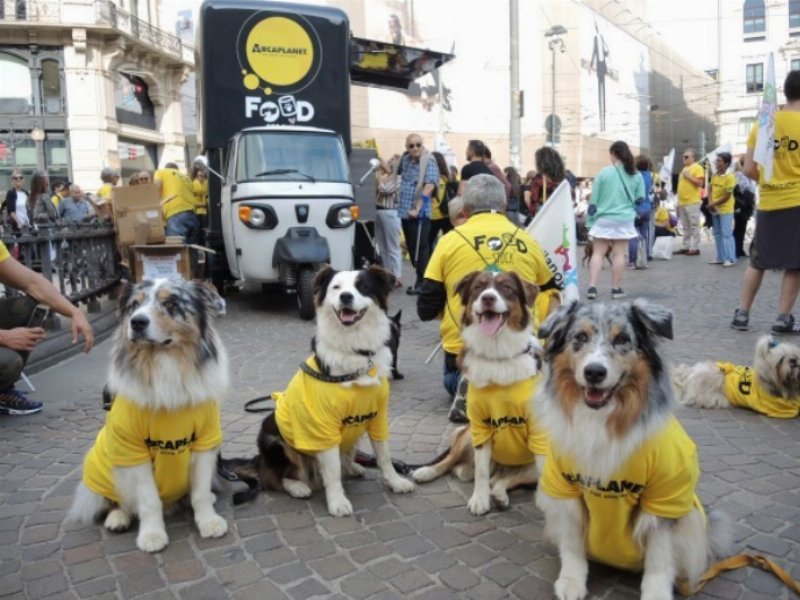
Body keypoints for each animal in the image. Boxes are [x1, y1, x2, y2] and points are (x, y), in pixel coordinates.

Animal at [66, 280, 230, 552]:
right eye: (134, 305)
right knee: (114, 502)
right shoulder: (133, 452)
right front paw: (152, 535)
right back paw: (118, 518)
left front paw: (208, 522)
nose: (137, 322)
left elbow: (199, 493)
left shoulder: (205, 442)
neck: (165, 362)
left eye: (171, 303)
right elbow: (149, 500)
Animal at [223, 264, 416, 516]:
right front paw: (337, 501)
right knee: (272, 478)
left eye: (363, 286)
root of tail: (259, 459)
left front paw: (395, 481)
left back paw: (352, 466)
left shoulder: (377, 417)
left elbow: (384, 456)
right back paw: (297, 486)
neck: (354, 350)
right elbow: (332, 471)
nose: (346, 297)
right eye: (336, 287)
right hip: (274, 439)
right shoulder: (323, 427)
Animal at [412, 272, 552, 516]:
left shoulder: (539, 431)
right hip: (467, 436)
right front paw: (479, 499)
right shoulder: (479, 426)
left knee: (502, 480)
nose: (488, 298)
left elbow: (543, 470)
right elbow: (481, 472)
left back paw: (500, 495)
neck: (498, 354)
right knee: (453, 462)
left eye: (506, 288)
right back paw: (426, 472)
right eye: (478, 287)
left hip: (525, 467)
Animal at [536, 300, 728, 600]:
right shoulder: (565, 488)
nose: (594, 372)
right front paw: (571, 580)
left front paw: (657, 594)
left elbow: (659, 559)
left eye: (622, 339)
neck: (601, 421)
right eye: (580, 337)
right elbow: (572, 544)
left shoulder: (664, 498)